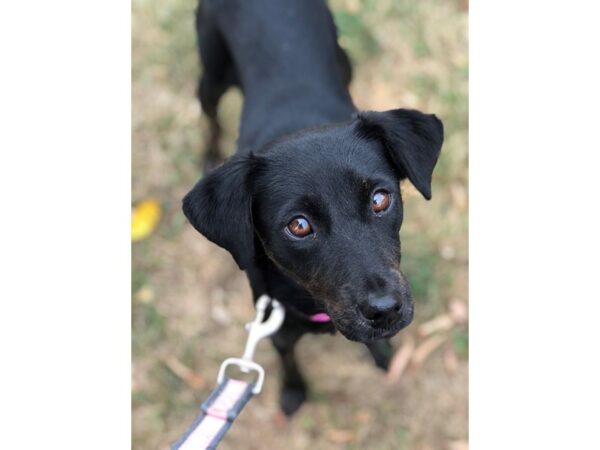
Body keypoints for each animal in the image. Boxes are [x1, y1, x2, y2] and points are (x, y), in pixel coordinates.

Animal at [180, 0, 442, 416]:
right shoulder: (275, 323)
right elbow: (287, 358)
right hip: (211, 72)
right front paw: (293, 391)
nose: (385, 310)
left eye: (380, 199)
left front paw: (383, 355)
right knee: (209, 114)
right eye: (298, 225)